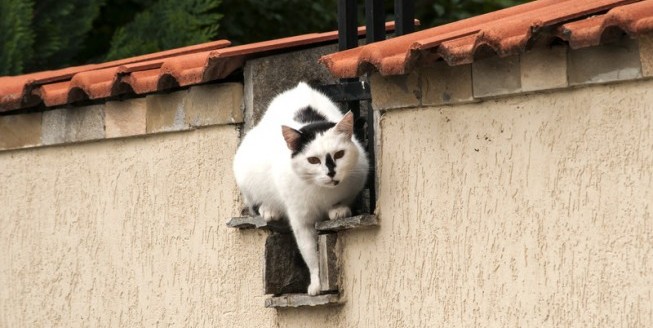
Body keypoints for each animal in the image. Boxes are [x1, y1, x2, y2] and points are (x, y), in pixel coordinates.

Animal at [233, 81, 366, 294]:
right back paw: (269, 210)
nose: (331, 173)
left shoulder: (358, 177)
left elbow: (344, 200)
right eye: (313, 160)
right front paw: (317, 285)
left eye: (339, 154)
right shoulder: (301, 220)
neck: (322, 193)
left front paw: (339, 210)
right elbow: (310, 253)